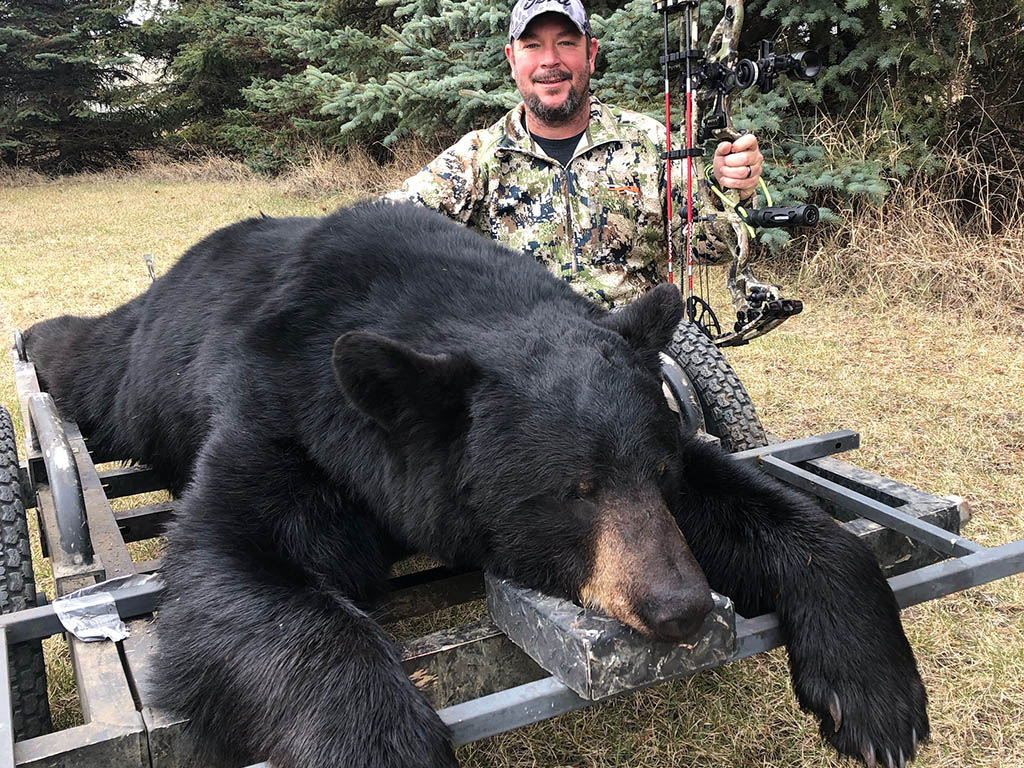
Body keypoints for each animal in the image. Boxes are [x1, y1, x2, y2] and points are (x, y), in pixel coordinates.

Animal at [24, 202, 929, 768]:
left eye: (654, 472)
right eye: (572, 489)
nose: (679, 605)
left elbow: (770, 513)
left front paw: (876, 700)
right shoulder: (286, 419)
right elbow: (235, 564)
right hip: (143, 369)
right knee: (90, 361)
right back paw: (35, 341)